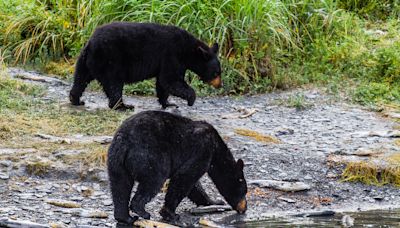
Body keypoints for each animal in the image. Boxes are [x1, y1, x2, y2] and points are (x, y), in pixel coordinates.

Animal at [70, 21, 223, 110]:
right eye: (216, 73)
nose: (220, 85)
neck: (188, 50)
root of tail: (90, 43)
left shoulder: (167, 60)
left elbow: (163, 83)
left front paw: (168, 103)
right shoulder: (172, 54)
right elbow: (170, 80)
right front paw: (191, 99)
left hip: (86, 61)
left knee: (80, 79)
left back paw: (76, 100)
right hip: (111, 60)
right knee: (114, 83)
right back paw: (123, 106)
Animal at [106, 111, 247, 226]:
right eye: (244, 191)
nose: (244, 208)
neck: (216, 148)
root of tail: (124, 141)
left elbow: (195, 186)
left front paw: (215, 201)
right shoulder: (203, 148)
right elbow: (185, 177)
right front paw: (170, 214)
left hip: (116, 161)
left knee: (120, 186)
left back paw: (125, 217)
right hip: (150, 155)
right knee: (153, 181)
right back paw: (142, 211)